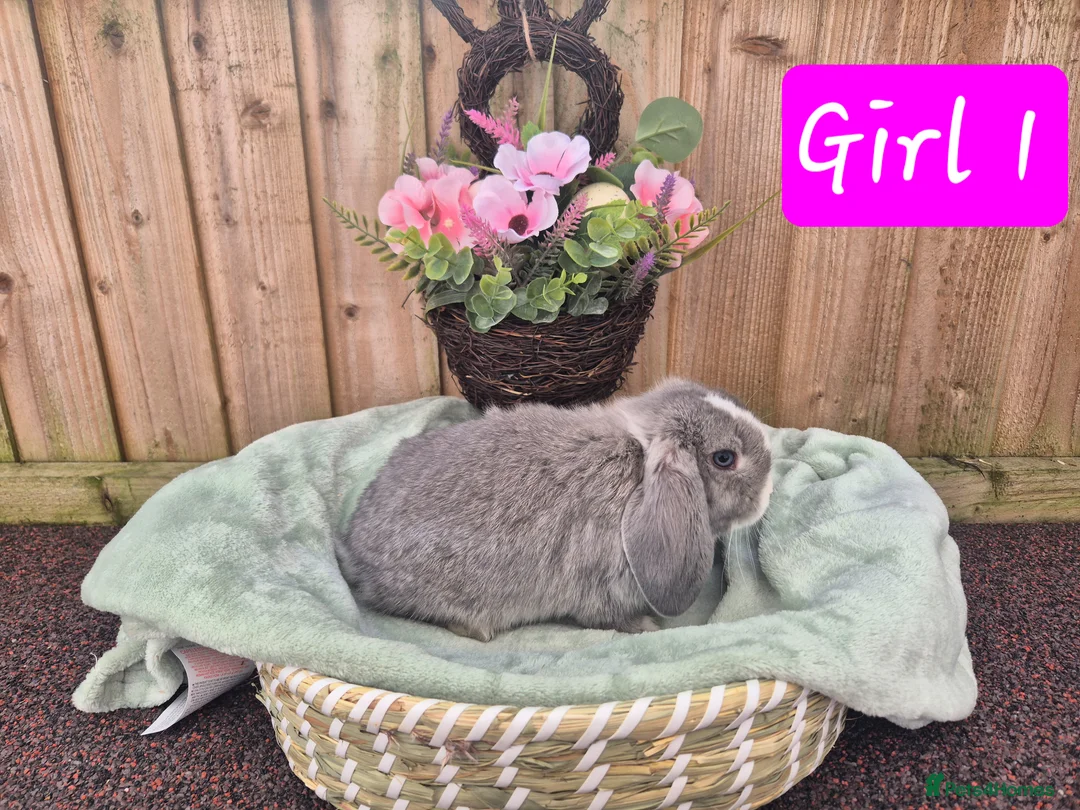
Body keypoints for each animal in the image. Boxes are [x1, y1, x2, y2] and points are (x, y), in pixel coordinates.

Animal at [336, 378, 773, 642]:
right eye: (724, 458)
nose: (770, 489)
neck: (640, 463)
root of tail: (352, 552)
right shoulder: (604, 591)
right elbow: (608, 619)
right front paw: (647, 626)